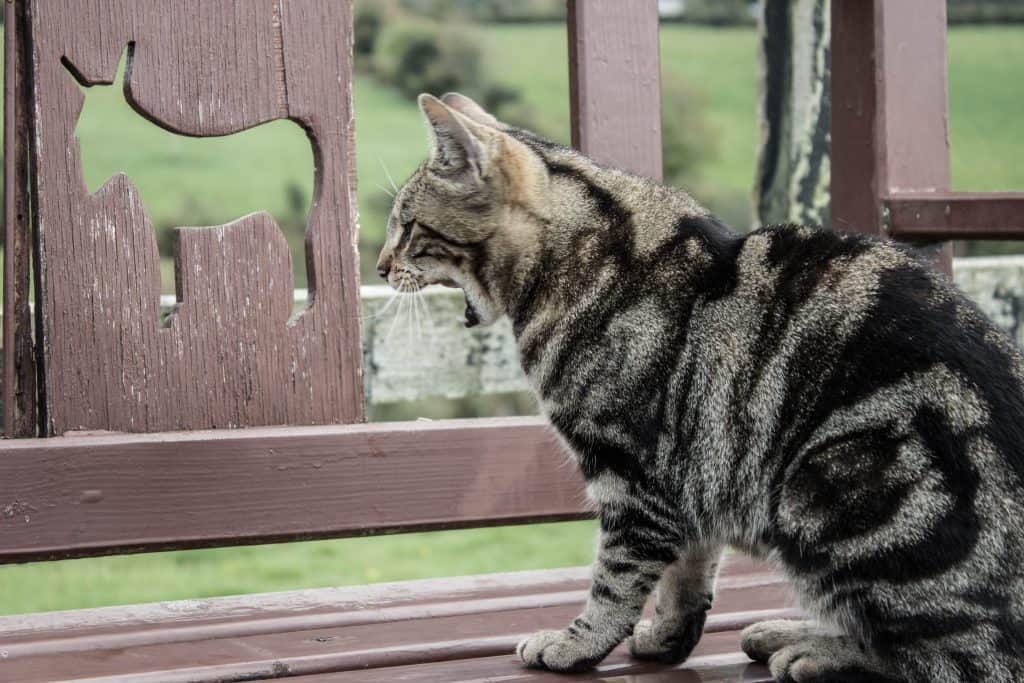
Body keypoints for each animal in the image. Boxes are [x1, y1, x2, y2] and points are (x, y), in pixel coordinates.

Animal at [374, 93, 1024, 679]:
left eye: (406, 226)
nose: (379, 266)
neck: (584, 255)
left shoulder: (630, 475)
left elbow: (615, 580)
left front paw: (575, 644)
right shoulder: (692, 472)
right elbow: (687, 573)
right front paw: (668, 637)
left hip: (827, 489)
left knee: (945, 658)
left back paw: (818, 648)